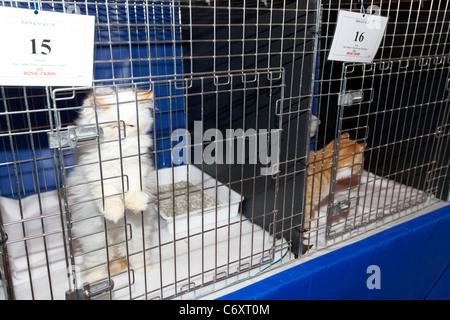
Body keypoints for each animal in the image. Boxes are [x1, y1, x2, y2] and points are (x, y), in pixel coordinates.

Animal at [67, 87, 155, 282]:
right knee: (95, 267)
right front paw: (115, 213)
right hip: (97, 244)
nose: (122, 129)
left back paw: (144, 271)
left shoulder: (135, 168)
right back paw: (95, 280)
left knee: (136, 258)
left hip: (136, 239)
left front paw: (136, 205)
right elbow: (110, 197)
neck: (118, 153)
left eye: (130, 126)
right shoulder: (98, 174)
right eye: (114, 125)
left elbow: (134, 189)